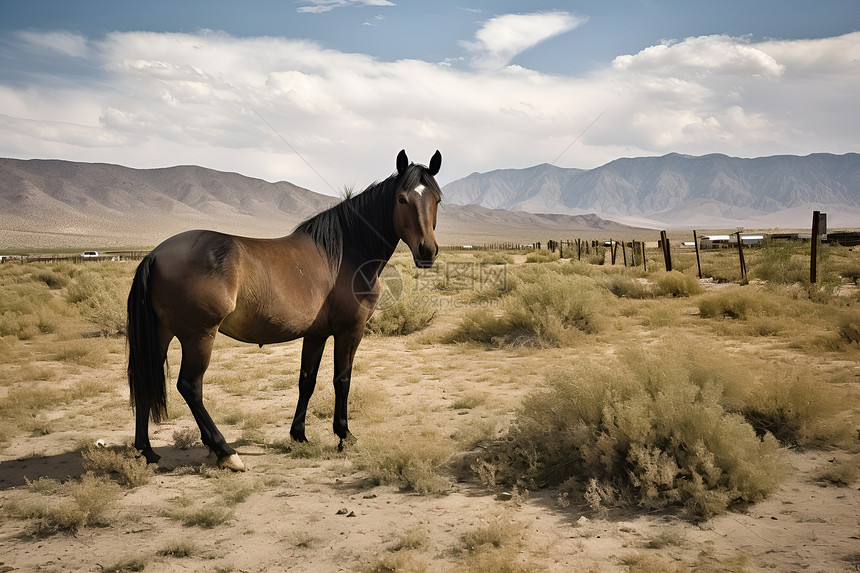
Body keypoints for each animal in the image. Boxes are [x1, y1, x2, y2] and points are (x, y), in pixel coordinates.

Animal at [127, 150, 444, 472]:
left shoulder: (316, 335)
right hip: (199, 336)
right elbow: (342, 380)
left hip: (161, 334)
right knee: (190, 387)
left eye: (437, 199)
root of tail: (154, 255)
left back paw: (147, 451)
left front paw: (299, 435)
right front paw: (344, 435)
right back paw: (225, 451)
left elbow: (307, 381)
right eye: (402, 199)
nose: (427, 251)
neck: (345, 254)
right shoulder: (349, 331)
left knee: (145, 381)